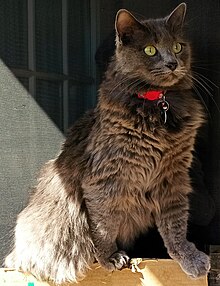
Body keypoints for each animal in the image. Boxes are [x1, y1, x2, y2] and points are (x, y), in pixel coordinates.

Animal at [6, 2, 211, 284]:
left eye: (179, 46)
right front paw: (108, 257)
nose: (172, 63)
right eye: (150, 50)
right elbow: (104, 224)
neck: (157, 104)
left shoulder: (173, 177)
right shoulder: (106, 179)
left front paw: (187, 257)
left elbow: (176, 223)